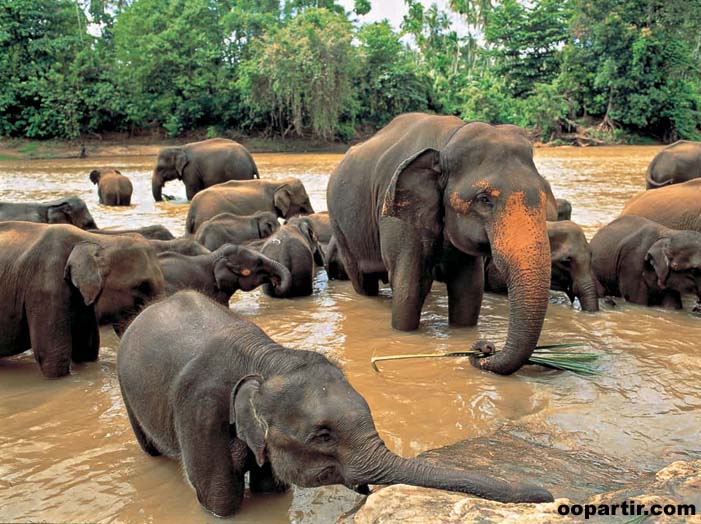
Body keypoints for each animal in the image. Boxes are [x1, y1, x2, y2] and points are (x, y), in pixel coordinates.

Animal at [116, 292, 552, 516]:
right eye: (322, 436)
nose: (546, 495)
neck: (267, 359)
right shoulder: (200, 413)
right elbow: (219, 501)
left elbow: (273, 488)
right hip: (127, 392)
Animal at [326, 113, 556, 376]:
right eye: (484, 199)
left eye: (543, 196)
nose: (485, 348)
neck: (448, 140)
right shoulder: (397, 217)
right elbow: (409, 289)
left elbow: (469, 289)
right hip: (341, 228)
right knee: (363, 282)